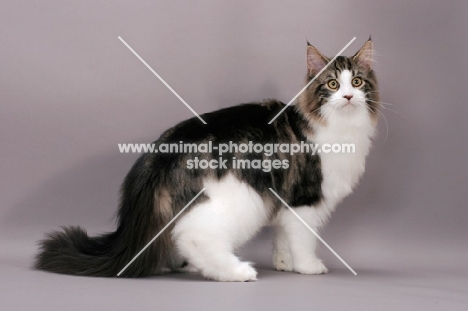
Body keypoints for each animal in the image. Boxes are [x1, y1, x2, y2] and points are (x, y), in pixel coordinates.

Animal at [35, 39, 380, 282]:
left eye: (358, 82)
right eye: (333, 85)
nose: (349, 96)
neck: (339, 127)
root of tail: (161, 150)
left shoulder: (285, 203)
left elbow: (283, 238)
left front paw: (284, 264)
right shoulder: (304, 201)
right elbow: (304, 240)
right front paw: (308, 267)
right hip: (239, 199)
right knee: (193, 236)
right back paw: (236, 272)